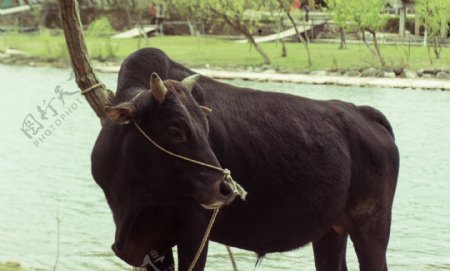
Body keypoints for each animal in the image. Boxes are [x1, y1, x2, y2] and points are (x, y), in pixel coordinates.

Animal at [90, 49, 398, 271]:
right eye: (174, 130)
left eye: (206, 127)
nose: (224, 188)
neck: (133, 200)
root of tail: (361, 112)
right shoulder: (154, 243)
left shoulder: (196, 230)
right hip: (330, 231)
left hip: (372, 228)